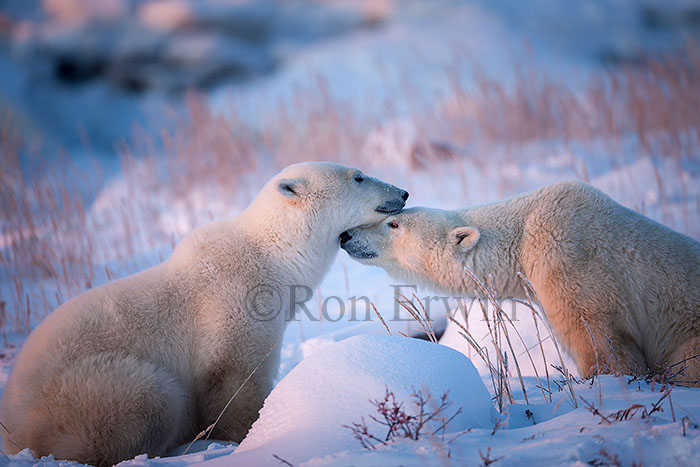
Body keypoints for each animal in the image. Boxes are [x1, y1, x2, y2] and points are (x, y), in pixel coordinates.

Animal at [0, 163, 408, 466]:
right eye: (358, 177)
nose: (402, 192)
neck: (271, 256)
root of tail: (13, 427)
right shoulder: (232, 305)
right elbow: (235, 378)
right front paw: (249, 436)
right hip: (84, 393)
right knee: (150, 397)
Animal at [342, 180, 700, 384]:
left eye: (394, 224)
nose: (347, 236)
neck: (524, 233)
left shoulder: (568, 260)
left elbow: (599, 339)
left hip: (688, 334)